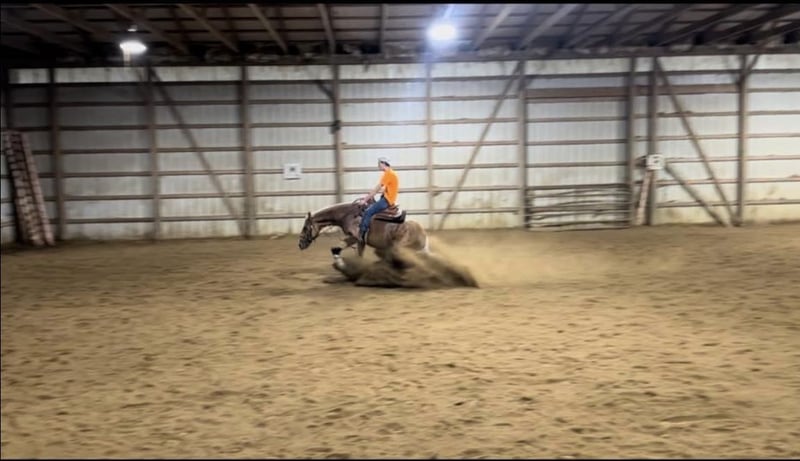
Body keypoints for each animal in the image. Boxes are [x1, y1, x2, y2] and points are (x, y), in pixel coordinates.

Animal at [298, 197, 429, 258]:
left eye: (305, 228)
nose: (300, 244)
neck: (347, 215)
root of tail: (423, 234)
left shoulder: (357, 238)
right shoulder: (357, 240)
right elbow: (338, 249)